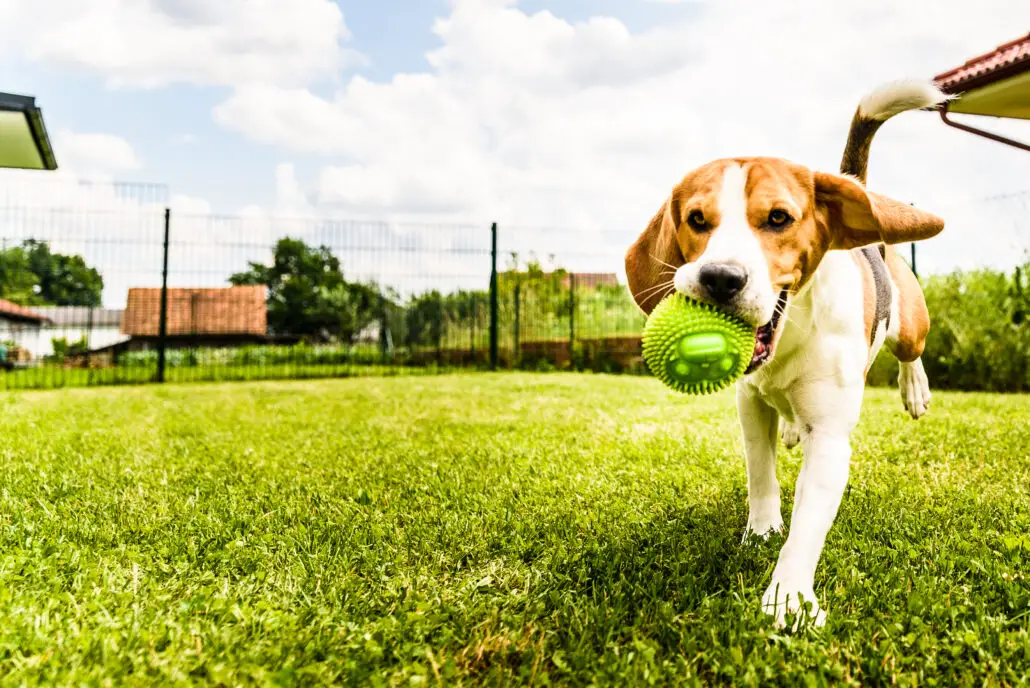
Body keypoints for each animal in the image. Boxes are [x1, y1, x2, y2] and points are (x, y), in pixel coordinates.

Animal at [622, 80, 943, 630]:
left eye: (778, 218)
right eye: (696, 219)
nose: (720, 278)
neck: (788, 334)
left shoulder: (831, 438)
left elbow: (807, 527)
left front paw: (789, 597)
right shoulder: (749, 404)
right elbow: (761, 474)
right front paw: (762, 529)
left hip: (909, 327)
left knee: (910, 351)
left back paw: (914, 388)